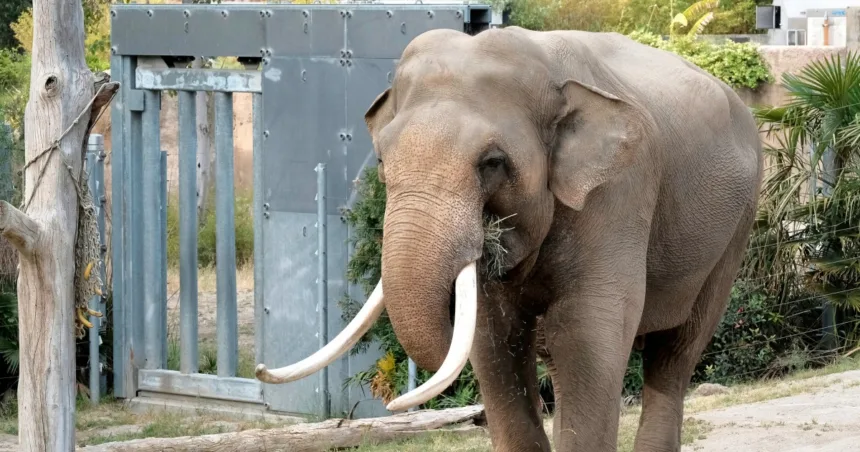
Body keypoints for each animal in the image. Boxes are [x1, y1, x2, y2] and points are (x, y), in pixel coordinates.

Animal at [256, 25, 764, 452]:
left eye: (492, 162)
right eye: (381, 160)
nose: (392, 406)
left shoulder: (620, 193)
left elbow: (584, 337)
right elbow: (495, 343)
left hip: (737, 227)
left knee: (676, 353)